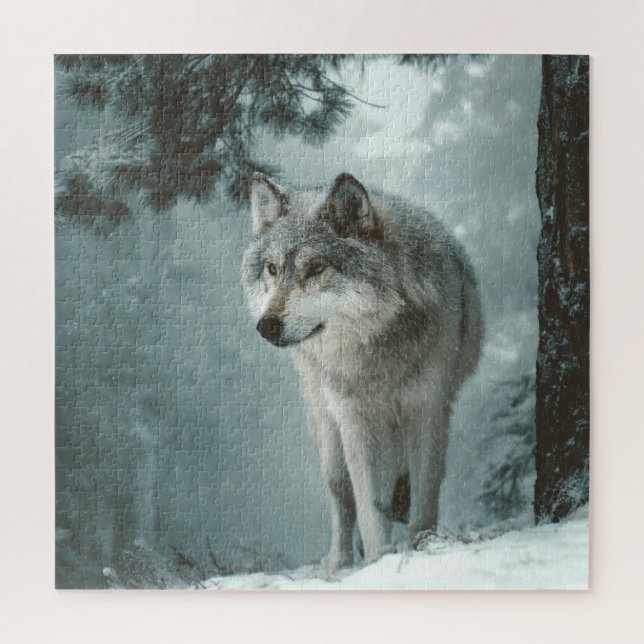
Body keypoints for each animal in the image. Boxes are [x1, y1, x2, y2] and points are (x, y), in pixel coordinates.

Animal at [241, 172, 483, 571]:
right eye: (272, 269)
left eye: (316, 268)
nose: (267, 325)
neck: (378, 346)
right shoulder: (355, 418)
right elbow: (368, 506)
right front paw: (378, 561)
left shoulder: (429, 410)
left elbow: (424, 497)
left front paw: (421, 547)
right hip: (327, 430)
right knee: (342, 496)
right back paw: (338, 563)